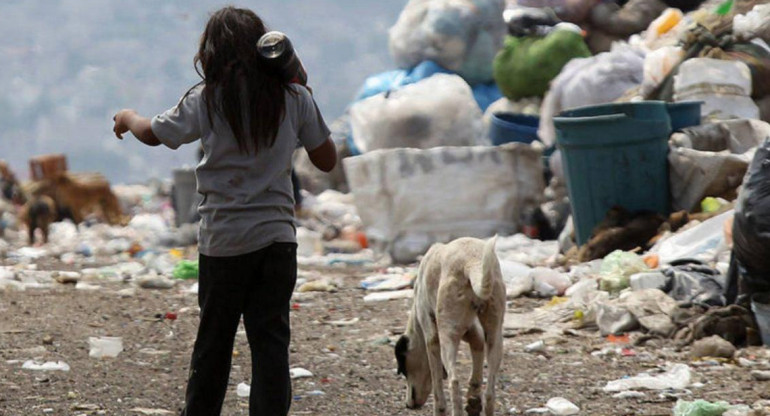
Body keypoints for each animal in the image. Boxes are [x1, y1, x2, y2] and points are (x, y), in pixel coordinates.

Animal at [392, 237, 508, 416]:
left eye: (403, 369)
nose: (408, 405)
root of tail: (471, 262)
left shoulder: (432, 339)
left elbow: (437, 385)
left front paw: (440, 409)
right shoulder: (474, 333)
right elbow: (477, 359)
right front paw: (473, 400)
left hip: (447, 338)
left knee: (454, 381)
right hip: (495, 336)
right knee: (490, 392)